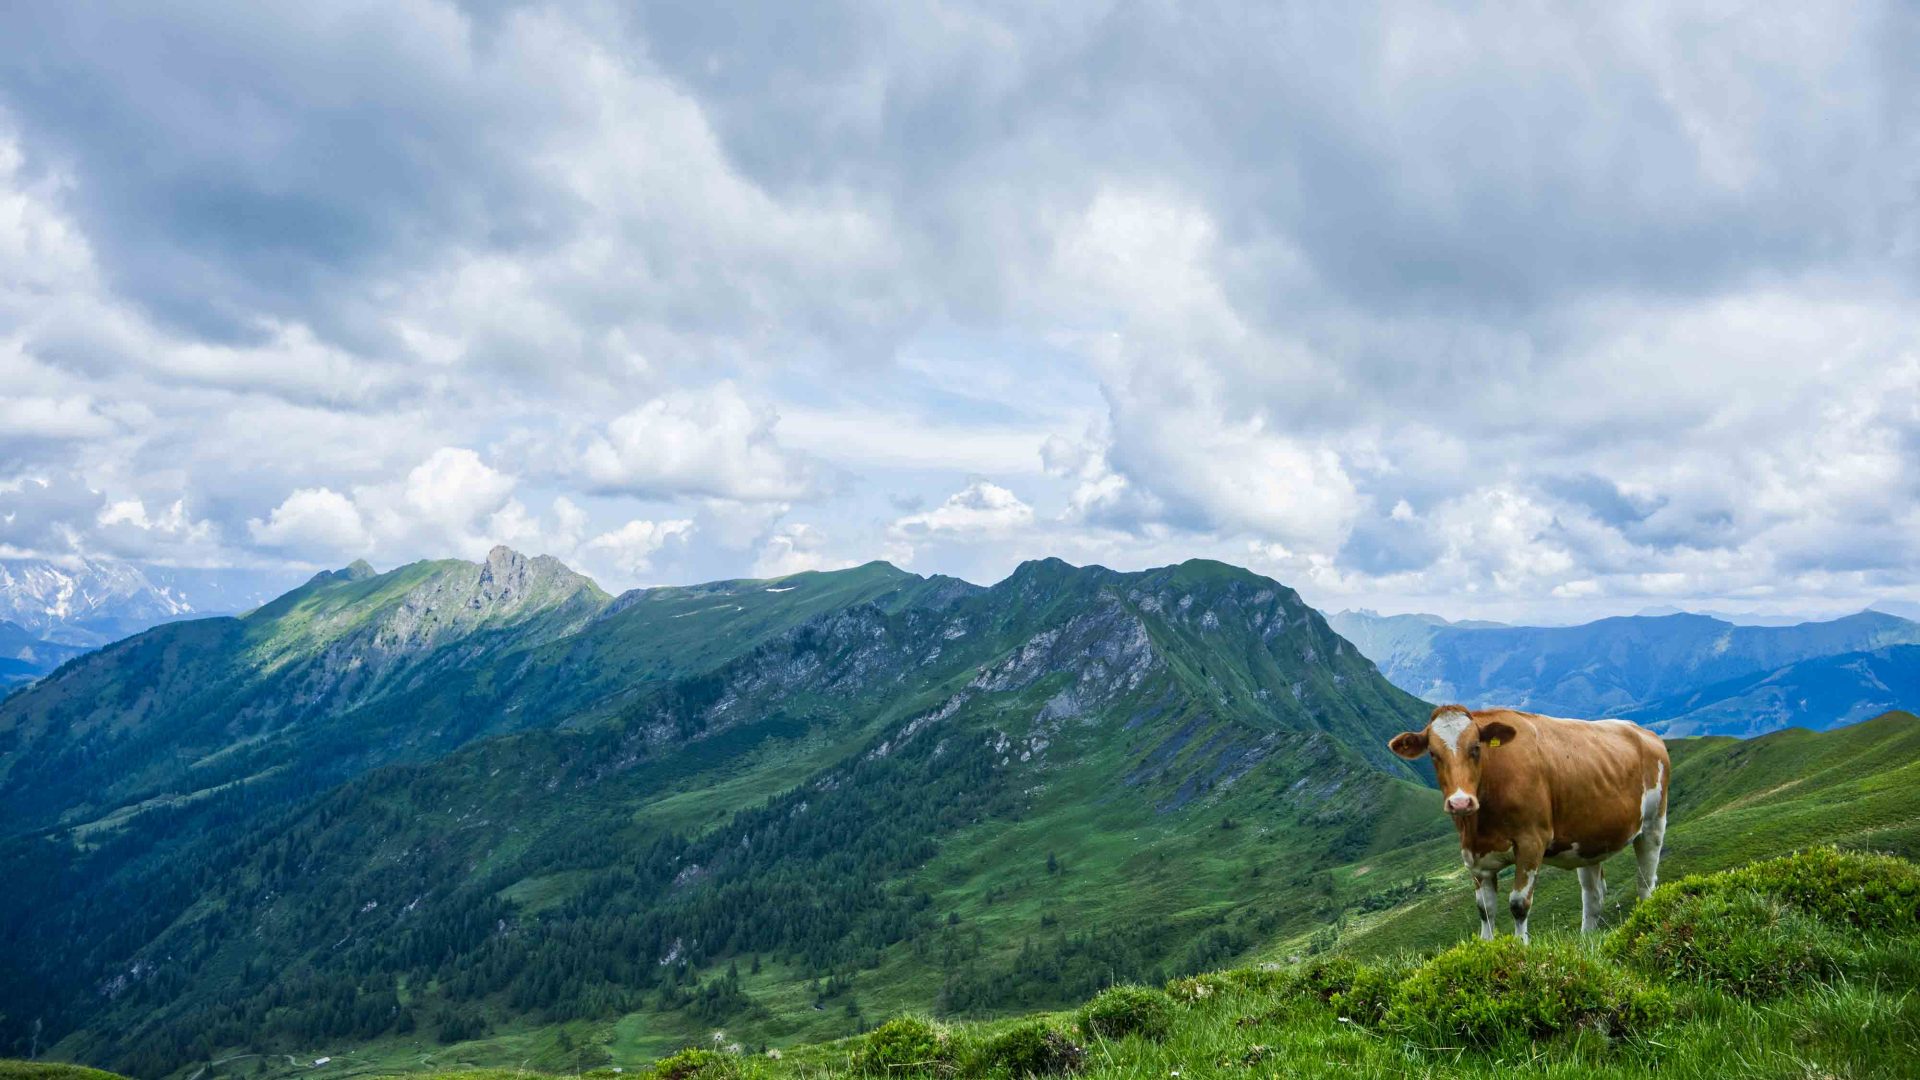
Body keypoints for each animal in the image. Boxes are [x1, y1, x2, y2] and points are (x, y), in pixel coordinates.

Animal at [1390, 703, 1674, 937]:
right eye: (1433, 754)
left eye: (1476, 748)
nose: (1461, 802)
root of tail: (1645, 733)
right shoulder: (1474, 857)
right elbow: (1485, 910)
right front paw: (1487, 946)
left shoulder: (1531, 842)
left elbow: (1518, 904)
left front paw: (1520, 948)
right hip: (1589, 841)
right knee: (1594, 896)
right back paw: (1586, 942)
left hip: (1653, 824)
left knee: (1646, 883)